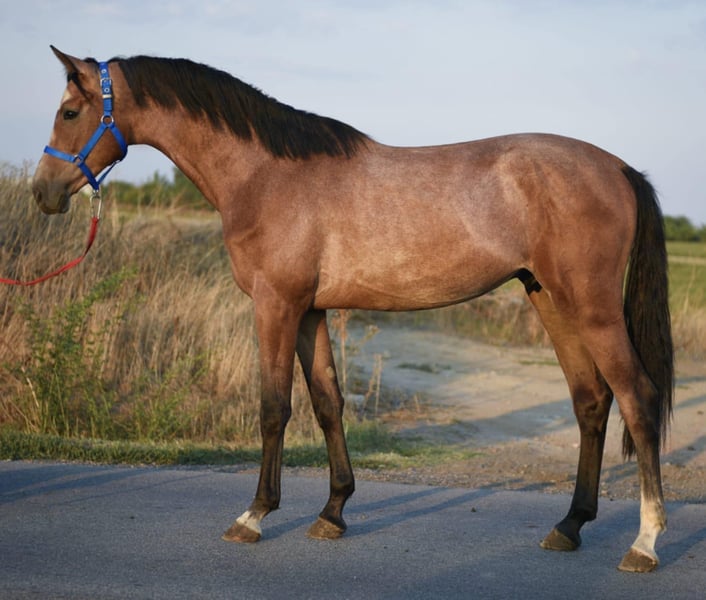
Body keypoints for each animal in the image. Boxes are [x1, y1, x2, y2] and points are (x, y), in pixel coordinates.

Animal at [32, 46, 673, 573]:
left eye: (70, 113)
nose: (42, 193)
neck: (266, 176)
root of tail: (619, 168)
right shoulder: (311, 312)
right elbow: (327, 404)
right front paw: (333, 512)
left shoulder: (276, 305)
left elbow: (273, 408)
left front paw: (254, 516)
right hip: (551, 301)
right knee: (591, 402)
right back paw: (569, 526)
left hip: (591, 308)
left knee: (638, 400)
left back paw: (643, 543)